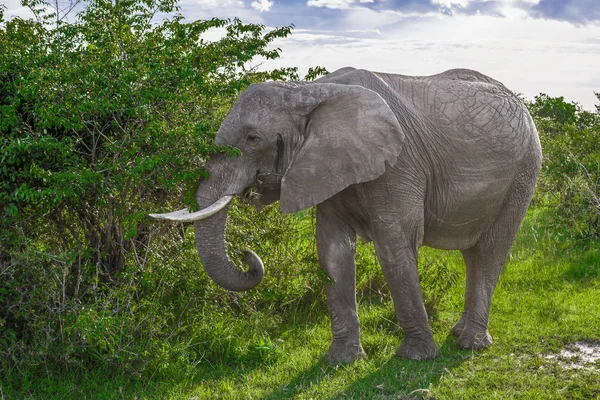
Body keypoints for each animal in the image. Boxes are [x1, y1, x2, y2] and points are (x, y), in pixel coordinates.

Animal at [151, 66, 544, 362]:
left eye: (251, 138)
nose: (248, 256)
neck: (309, 91)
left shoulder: (398, 165)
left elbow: (394, 248)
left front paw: (416, 357)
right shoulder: (325, 167)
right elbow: (332, 251)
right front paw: (341, 361)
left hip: (525, 171)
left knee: (490, 251)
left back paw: (470, 344)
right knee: (473, 254)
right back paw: (461, 333)